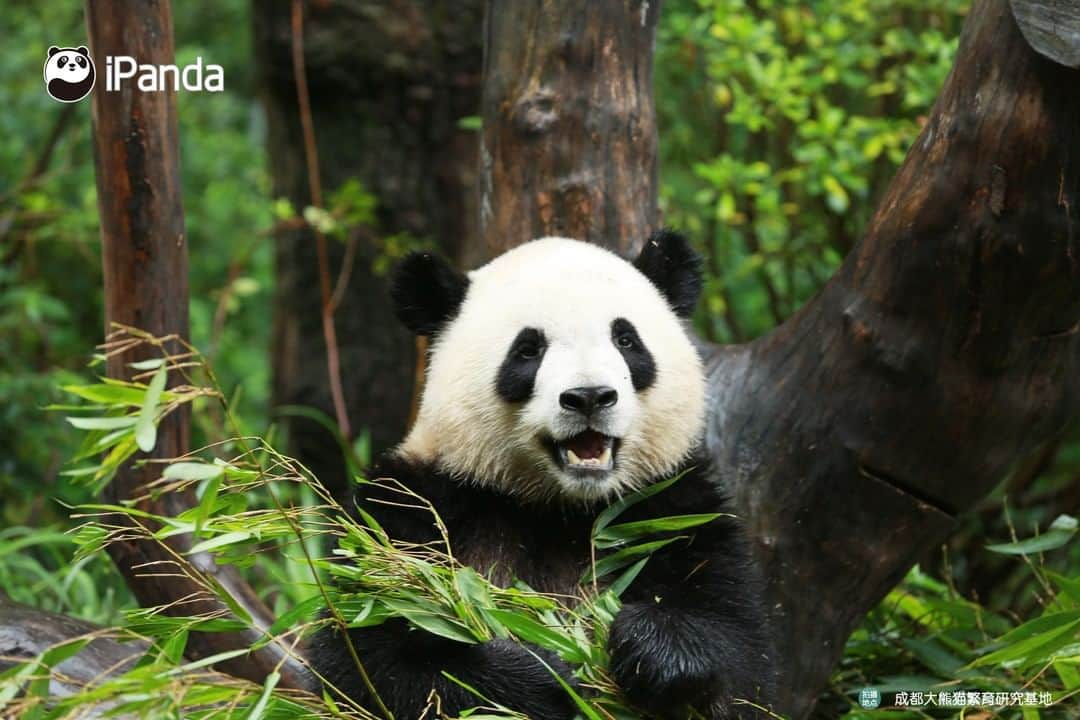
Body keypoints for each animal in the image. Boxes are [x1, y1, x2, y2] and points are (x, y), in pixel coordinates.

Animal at [308, 234, 773, 716]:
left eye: (626, 340)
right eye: (528, 350)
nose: (589, 396)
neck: (559, 506)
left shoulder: (673, 507)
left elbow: (737, 646)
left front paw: (656, 651)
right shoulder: (413, 510)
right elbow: (370, 650)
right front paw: (543, 677)